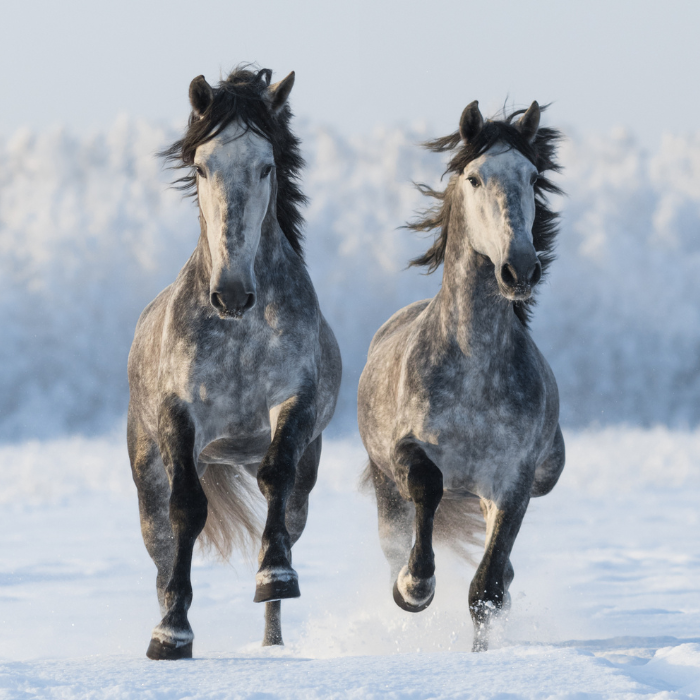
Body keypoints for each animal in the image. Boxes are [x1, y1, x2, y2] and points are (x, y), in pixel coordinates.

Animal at [129, 67, 344, 660]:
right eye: (202, 166)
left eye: (266, 165)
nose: (230, 293)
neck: (238, 332)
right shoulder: (180, 417)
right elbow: (186, 510)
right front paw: (172, 635)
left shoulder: (293, 403)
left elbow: (276, 476)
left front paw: (275, 576)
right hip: (148, 472)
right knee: (161, 545)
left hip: (299, 474)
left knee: (287, 510)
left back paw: (272, 641)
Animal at [358, 101, 568, 652]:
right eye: (474, 177)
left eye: (532, 176)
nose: (520, 269)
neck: (475, 371)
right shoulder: (407, 450)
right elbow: (428, 487)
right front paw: (415, 587)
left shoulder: (513, 480)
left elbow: (487, 589)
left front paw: (479, 655)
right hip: (384, 483)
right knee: (398, 536)